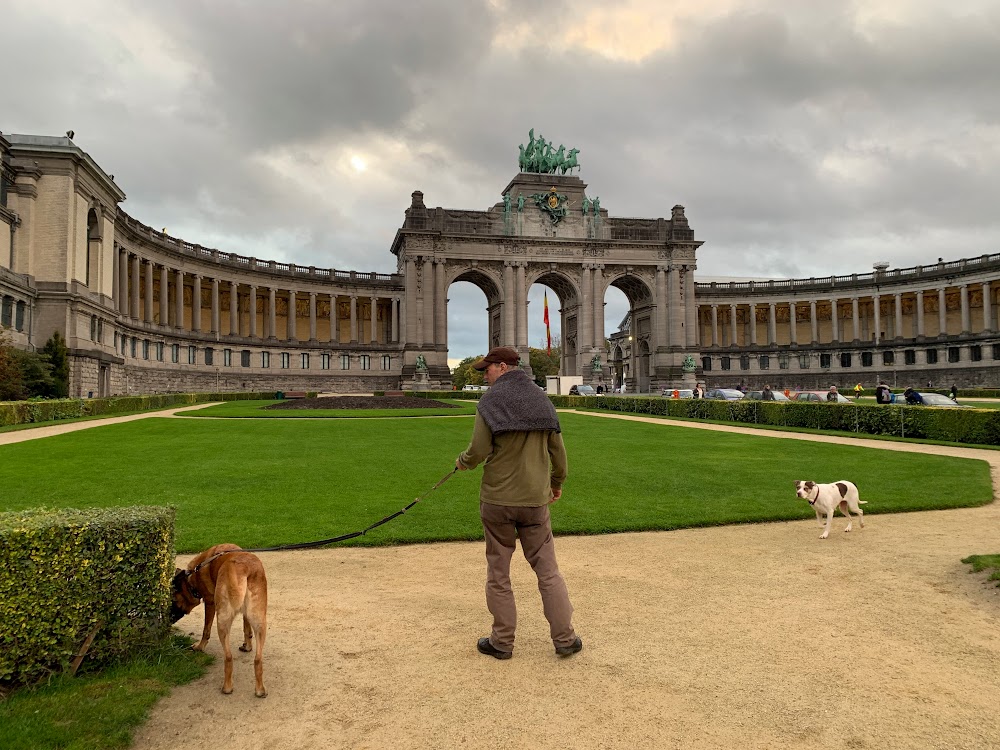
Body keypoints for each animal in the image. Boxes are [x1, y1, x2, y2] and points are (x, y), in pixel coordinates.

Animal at [171, 548, 270, 700]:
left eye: (174, 600)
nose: (168, 620)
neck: (194, 574)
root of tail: (244, 568)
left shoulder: (210, 602)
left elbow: (206, 630)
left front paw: (199, 647)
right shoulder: (246, 615)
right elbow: (246, 629)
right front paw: (247, 646)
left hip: (222, 619)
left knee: (228, 657)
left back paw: (227, 687)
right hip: (259, 621)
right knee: (258, 659)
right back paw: (260, 690)